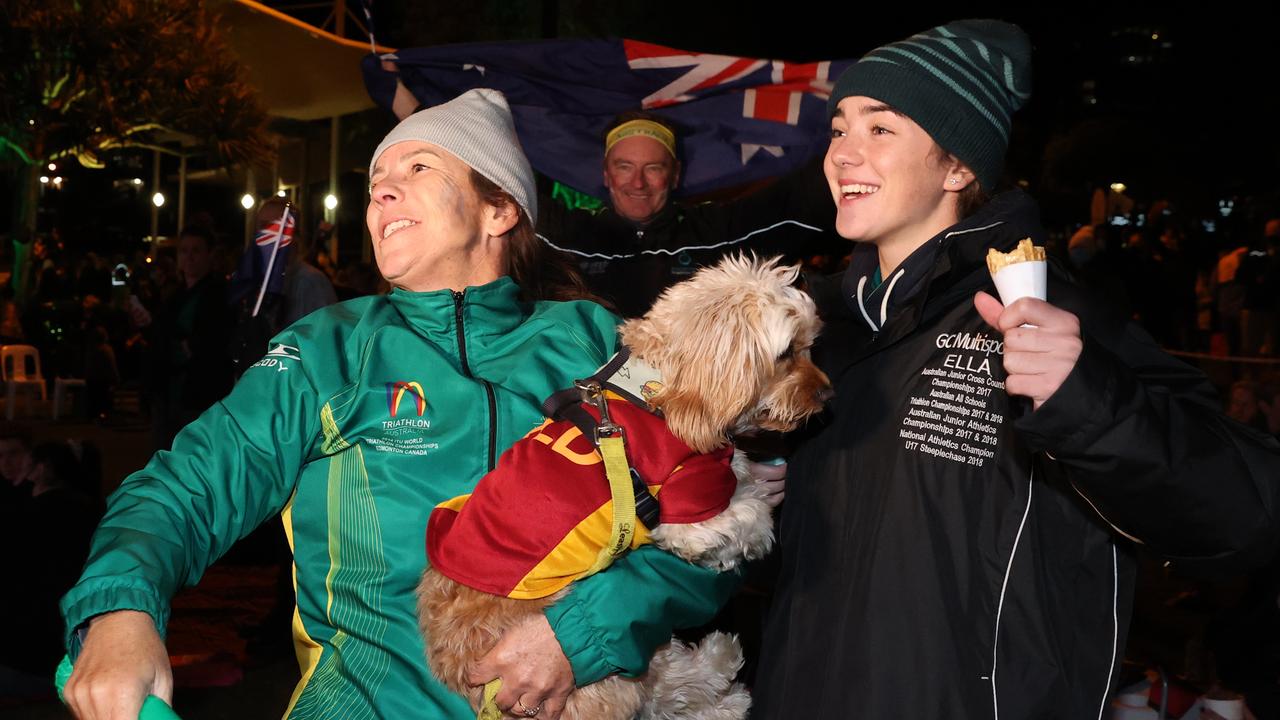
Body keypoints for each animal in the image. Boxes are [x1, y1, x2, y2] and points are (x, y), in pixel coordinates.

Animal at [419, 254, 829, 712]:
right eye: (786, 353)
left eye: (810, 343)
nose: (827, 394)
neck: (655, 388)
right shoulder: (686, 516)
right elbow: (747, 515)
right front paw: (750, 531)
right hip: (603, 680)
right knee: (665, 687)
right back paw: (724, 678)